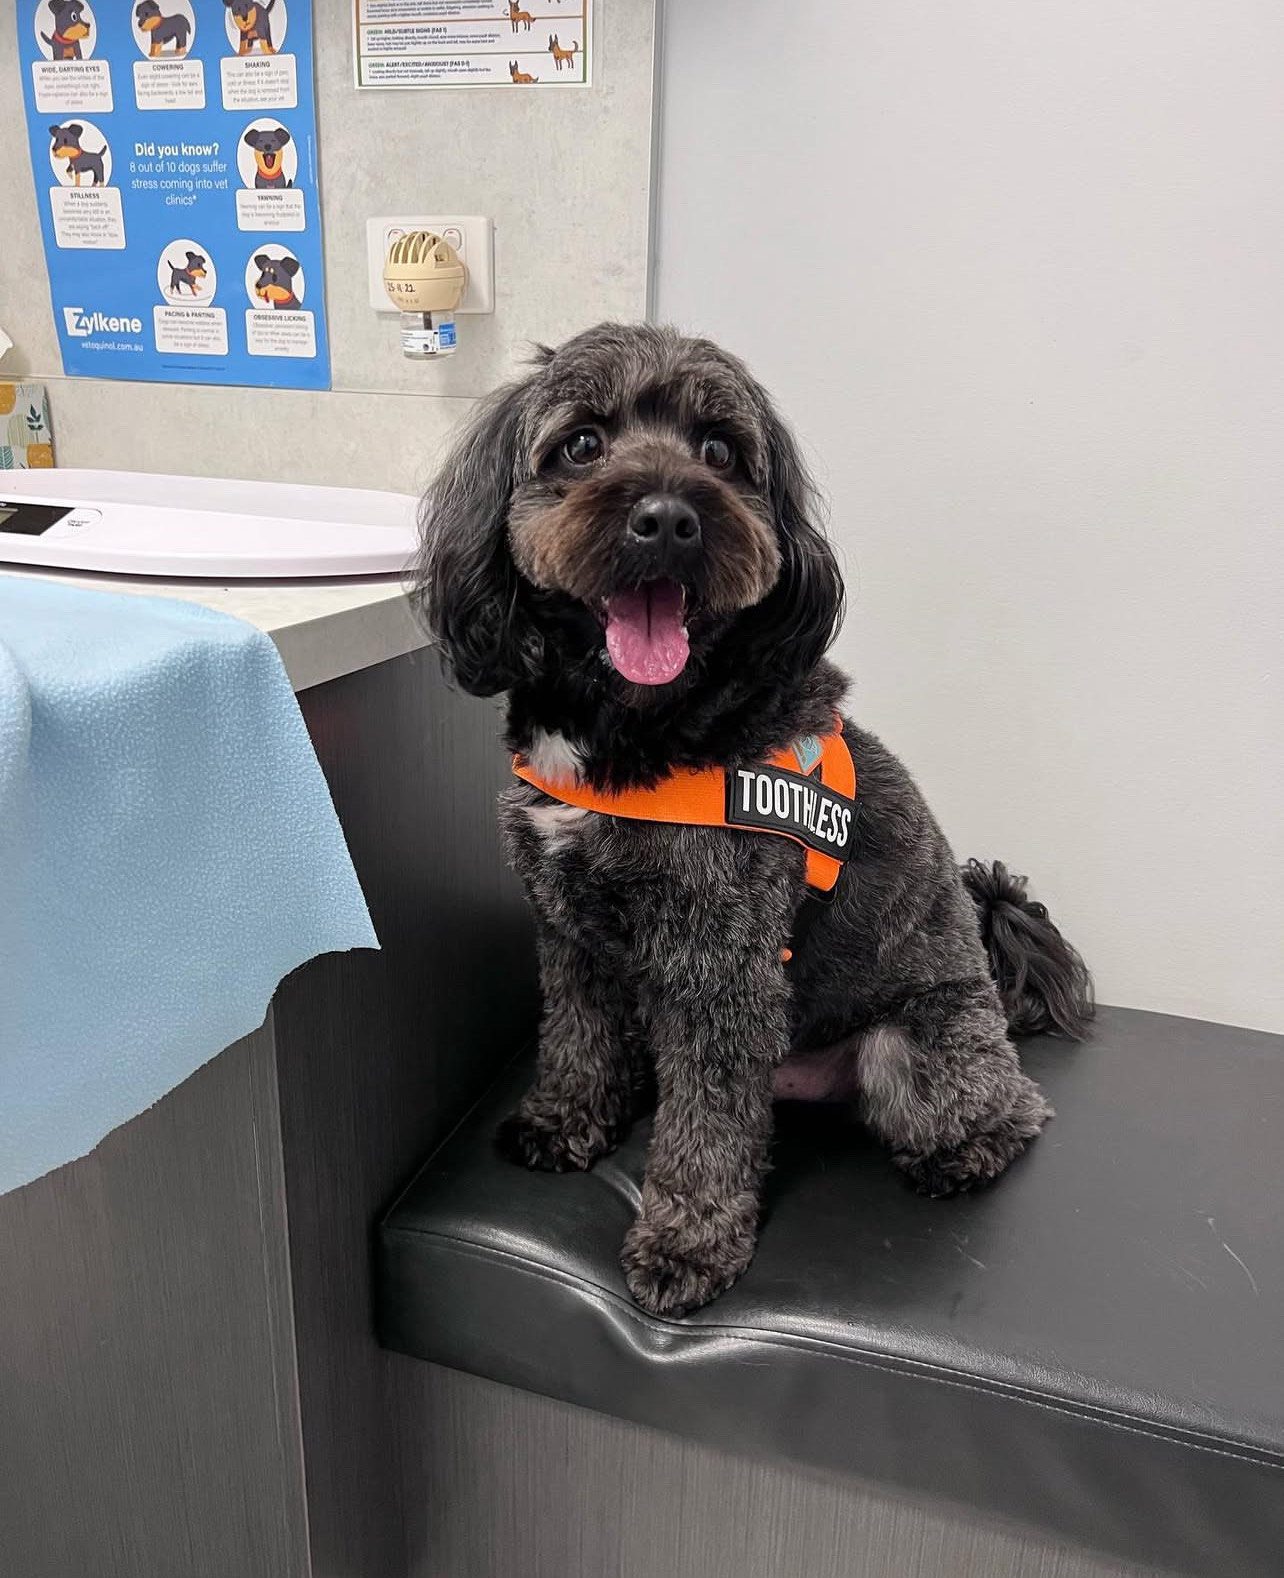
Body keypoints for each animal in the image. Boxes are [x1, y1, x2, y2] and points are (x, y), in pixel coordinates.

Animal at [413, 323, 1094, 1320]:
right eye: (581, 443)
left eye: (721, 451)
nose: (667, 518)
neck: (634, 731)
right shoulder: (570, 935)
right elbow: (575, 1038)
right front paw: (564, 1123)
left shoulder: (721, 969)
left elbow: (707, 1129)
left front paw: (686, 1245)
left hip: (915, 1051)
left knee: (1009, 1112)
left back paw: (966, 1154)